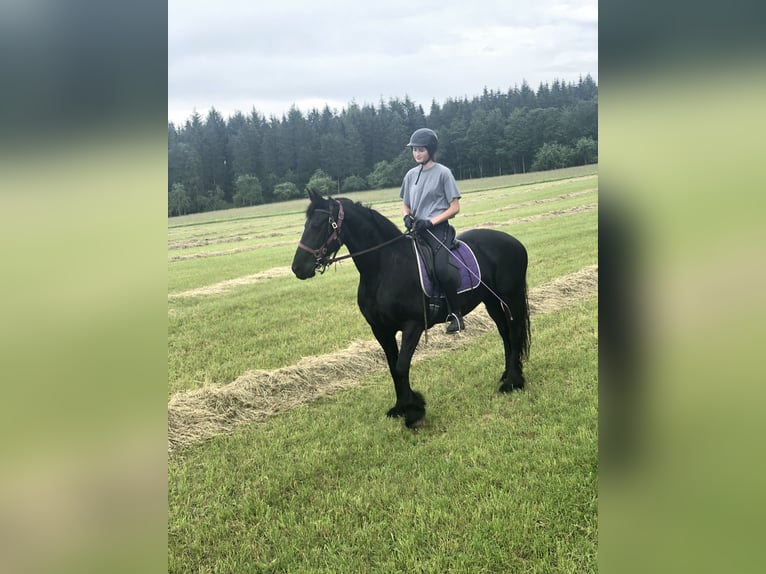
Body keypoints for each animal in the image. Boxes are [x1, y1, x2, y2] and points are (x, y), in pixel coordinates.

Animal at [291, 190, 530, 428]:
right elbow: (393, 367)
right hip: (491, 301)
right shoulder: (381, 330)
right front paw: (401, 407)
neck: (383, 269)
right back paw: (507, 375)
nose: (297, 267)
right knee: (505, 334)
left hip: (511, 297)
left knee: (515, 333)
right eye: (306, 224)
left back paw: (513, 383)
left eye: (318, 225)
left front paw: (414, 412)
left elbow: (401, 365)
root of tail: (515, 242)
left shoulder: (412, 325)